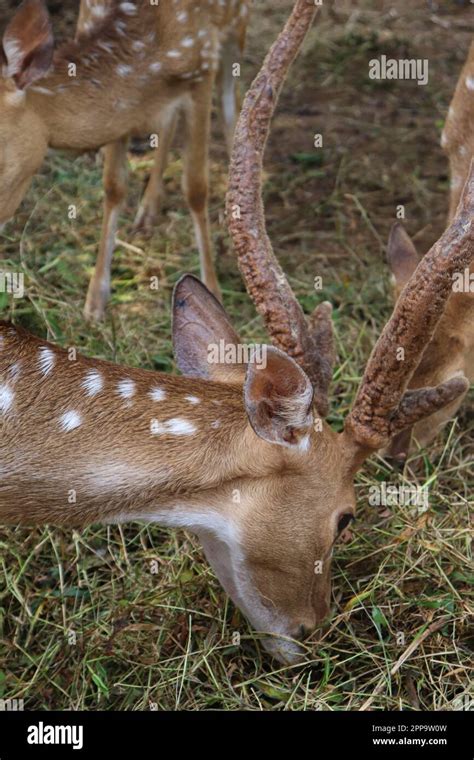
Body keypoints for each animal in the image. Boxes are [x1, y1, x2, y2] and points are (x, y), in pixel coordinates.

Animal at [0, 0, 250, 320]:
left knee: (233, 104)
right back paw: (147, 210)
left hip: (235, 28)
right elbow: (114, 186)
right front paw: (96, 299)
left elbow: (195, 188)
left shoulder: (202, 66)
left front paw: (213, 293)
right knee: (169, 121)